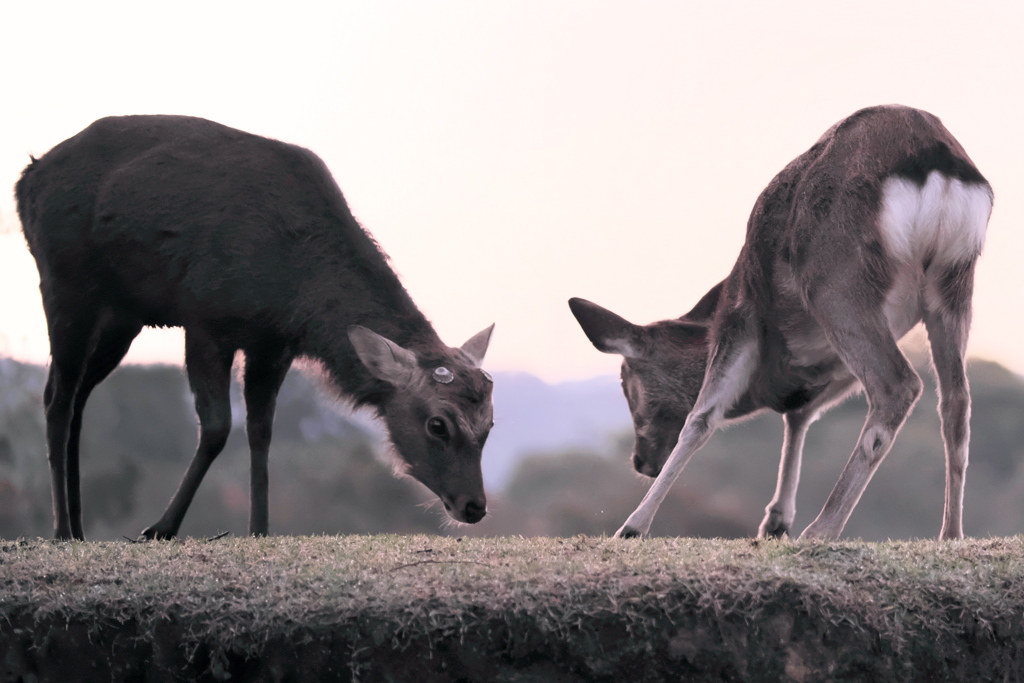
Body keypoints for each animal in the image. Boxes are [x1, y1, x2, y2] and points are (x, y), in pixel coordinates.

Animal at [14, 114, 495, 540]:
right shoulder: (206, 320)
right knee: (56, 398)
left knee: (78, 401)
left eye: (489, 425)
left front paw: (259, 528)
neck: (296, 290)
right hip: (65, 286)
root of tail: (26, 179)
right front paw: (160, 528)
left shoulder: (273, 344)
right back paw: (61, 530)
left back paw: (78, 527)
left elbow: (261, 432)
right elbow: (216, 429)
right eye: (438, 424)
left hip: (121, 318)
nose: (474, 506)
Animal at [569, 105, 991, 540]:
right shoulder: (828, 365)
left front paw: (632, 526)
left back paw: (823, 528)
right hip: (953, 284)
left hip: (836, 282)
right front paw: (775, 520)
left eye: (625, 381)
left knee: (898, 384)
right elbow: (799, 415)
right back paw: (950, 533)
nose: (640, 460)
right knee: (956, 401)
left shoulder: (741, 319)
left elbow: (701, 418)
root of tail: (934, 155)